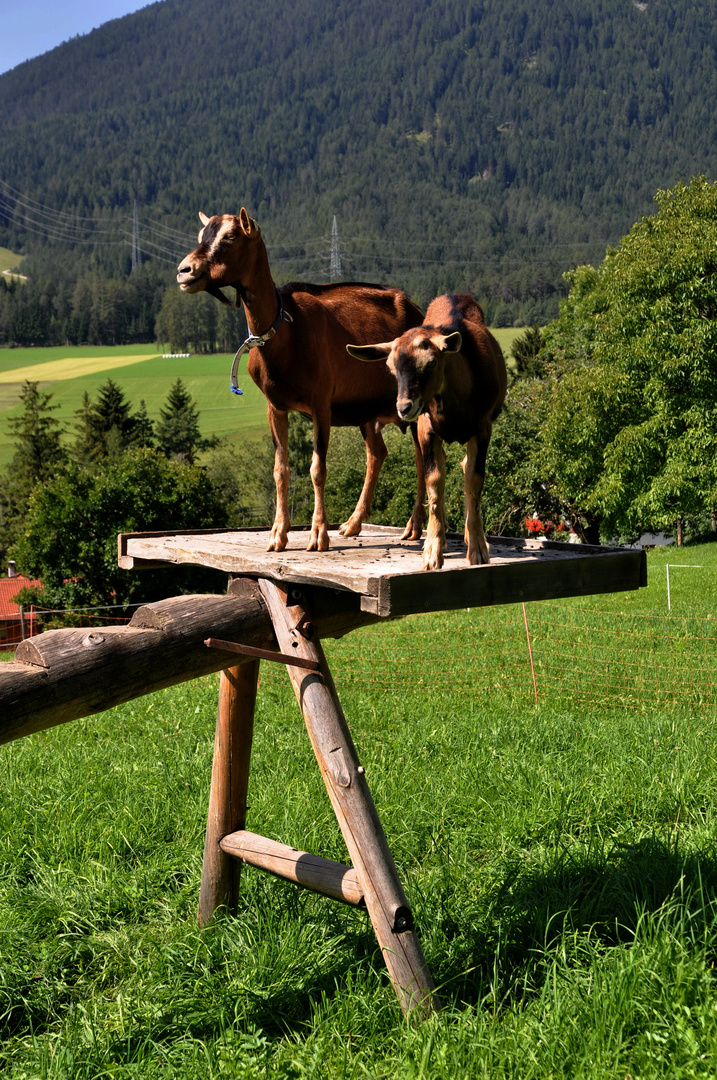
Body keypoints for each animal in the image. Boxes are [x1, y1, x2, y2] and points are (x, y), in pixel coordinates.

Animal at [177, 209, 425, 552]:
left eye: (231, 235)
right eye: (203, 235)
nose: (184, 270)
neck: (284, 333)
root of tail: (417, 311)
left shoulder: (321, 404)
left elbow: (317, 468)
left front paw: (318, 533)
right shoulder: (275, 406)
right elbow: (280, 469)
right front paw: (277, 534)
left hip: (415, 403)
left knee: (422, 458)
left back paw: (414, 527)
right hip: (366, 410)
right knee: (377, 454)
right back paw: (353, 523)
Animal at [347, 291, 507, 570]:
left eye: (431, 363)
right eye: (392, 367)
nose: (404, 407)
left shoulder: (483, 427)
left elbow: (474, 479)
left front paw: (478, 548)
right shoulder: (426, 429)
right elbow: (434, 479)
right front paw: (433, 551)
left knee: (465, 467)